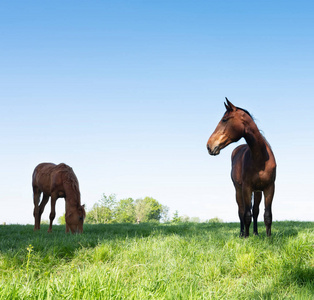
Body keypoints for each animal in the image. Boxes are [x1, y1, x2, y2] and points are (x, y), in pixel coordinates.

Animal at [207, 99, 276, 238]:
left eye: (224, 120)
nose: (209, 146)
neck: (261, 159)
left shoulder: (269, 187)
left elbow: (267, 215)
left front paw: (269, 238)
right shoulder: (246, 188)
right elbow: (246, 215)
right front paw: (246, 238)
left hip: (257, 191)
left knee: (255, 211)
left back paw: (255, 233)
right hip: (238, 190)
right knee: (241, 211)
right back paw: (242, 233)